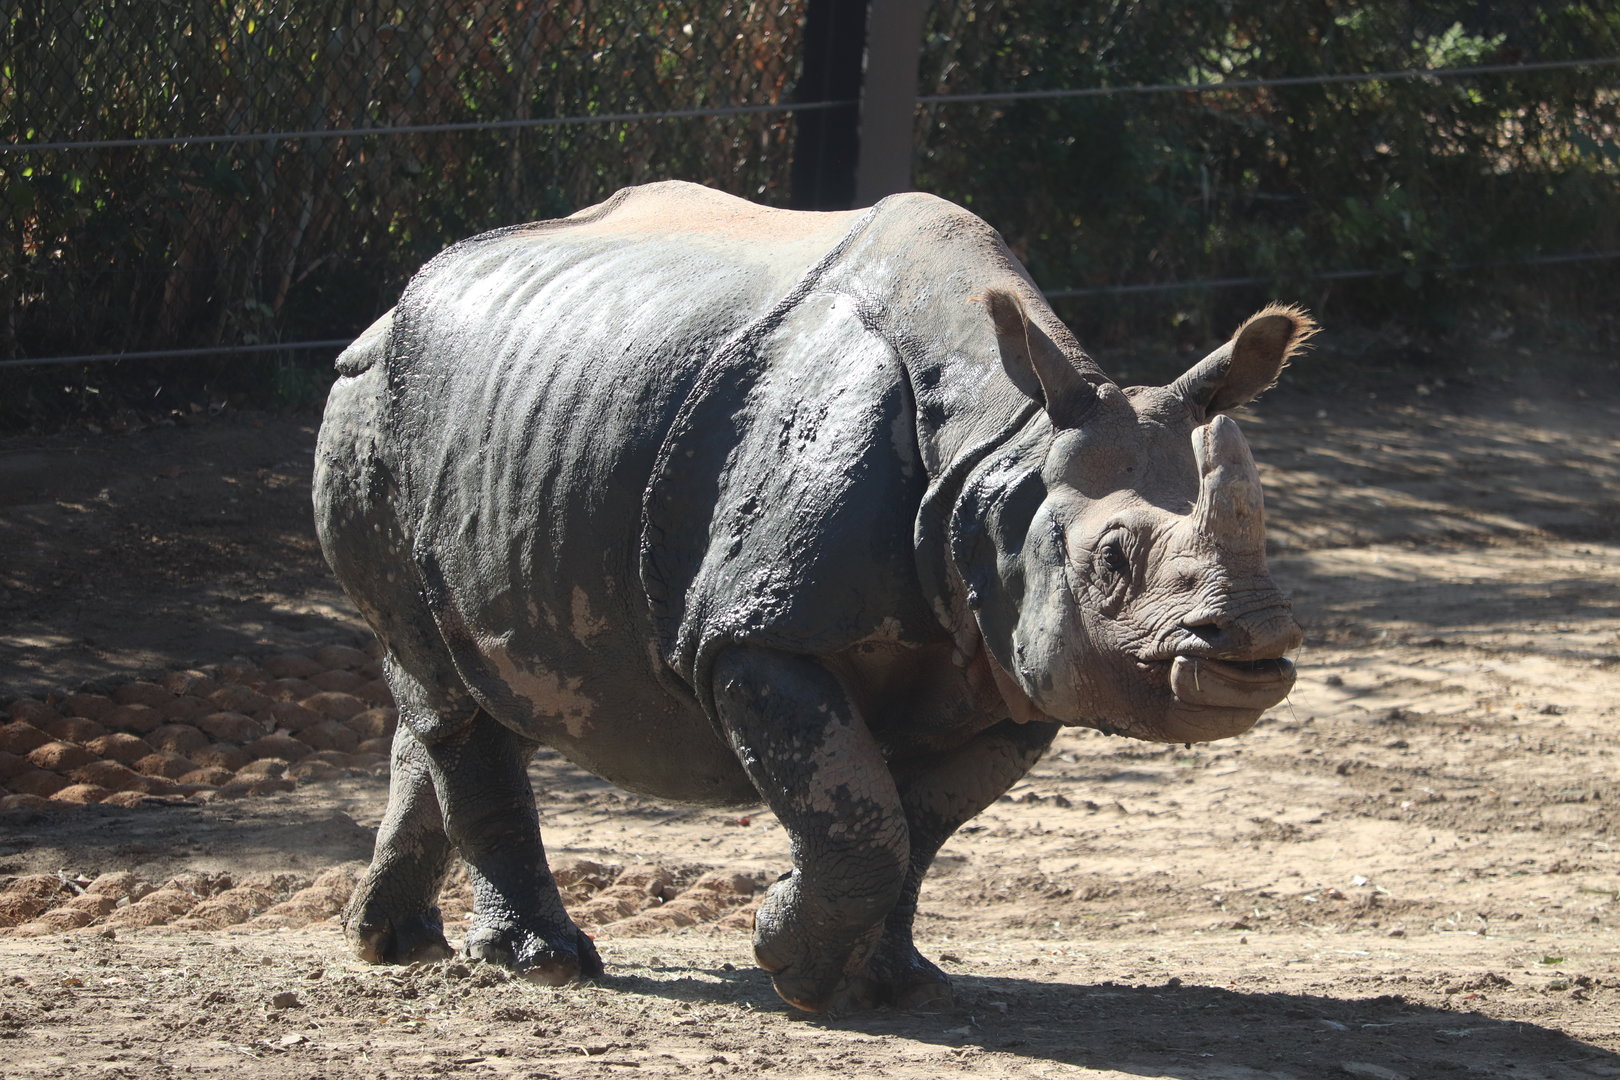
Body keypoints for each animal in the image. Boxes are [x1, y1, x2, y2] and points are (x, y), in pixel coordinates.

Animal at [313, 180, 1311, 1012]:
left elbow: (914, 825)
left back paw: (394, 944)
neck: (1003, 457)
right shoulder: (757, 636)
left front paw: (892, 984)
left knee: (469, 682)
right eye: (1112, 560)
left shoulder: (1011, 674)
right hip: (368, 411)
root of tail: (385, 314)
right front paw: (790, 962)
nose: (1254, 643)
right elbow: (862, 818)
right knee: (444, 685)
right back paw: (542, 963)